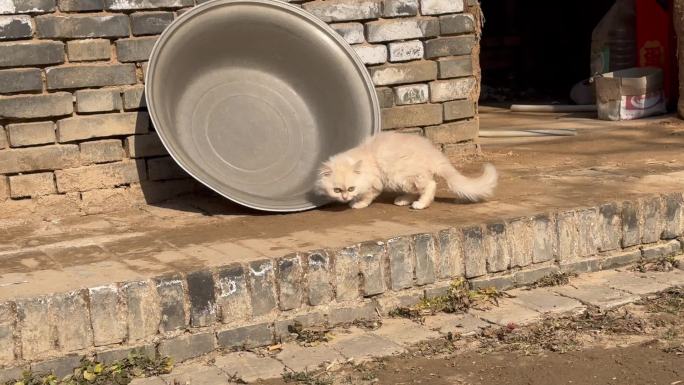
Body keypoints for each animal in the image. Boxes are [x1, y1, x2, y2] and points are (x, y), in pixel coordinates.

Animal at [316, 132, 496, 210]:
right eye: (337, 190)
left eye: (351, 188)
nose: (345, 197)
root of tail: (434, 154)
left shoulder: (374, 184)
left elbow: (367, 196)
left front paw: (357, 203)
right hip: (405, 179)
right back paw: (402, 200)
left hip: (402, 176)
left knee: (431, 185)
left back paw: (420, 204)